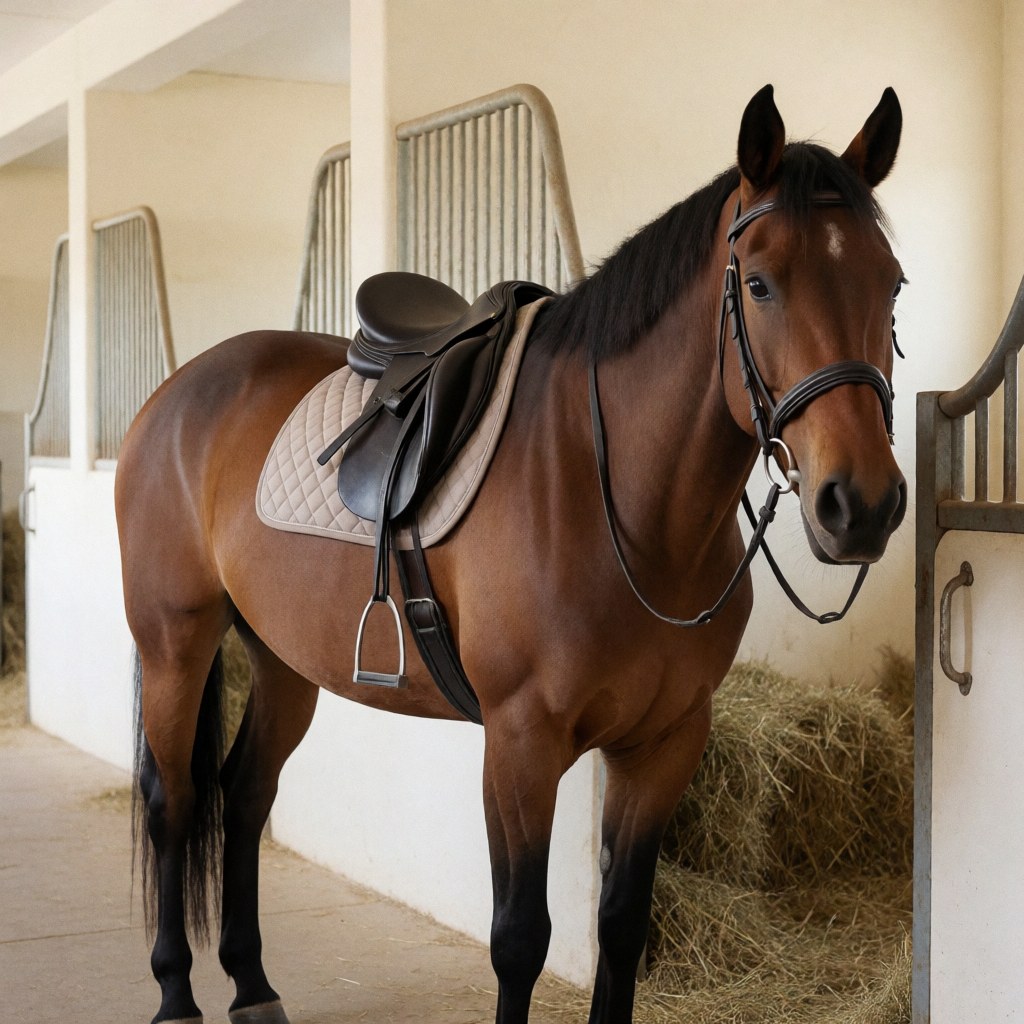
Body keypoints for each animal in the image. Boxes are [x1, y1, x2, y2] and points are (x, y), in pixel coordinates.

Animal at [117, 83, 906, 1024]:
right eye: (759, 283)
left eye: (892, 283)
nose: (860, 505)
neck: (619, 506)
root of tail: (175, 393)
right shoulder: (522, 743)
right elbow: (520, 939)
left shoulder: (665, 742)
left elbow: (622, 927)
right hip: (176, 642)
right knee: (173, 800)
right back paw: (175, 993)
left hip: (282, 659)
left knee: (243, 796)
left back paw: (254, 986)